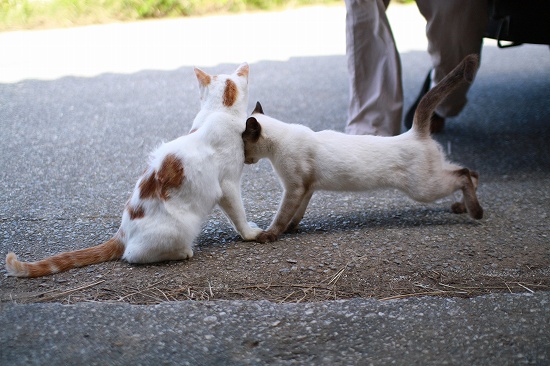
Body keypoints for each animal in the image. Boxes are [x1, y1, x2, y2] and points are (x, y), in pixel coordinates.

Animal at [4, 62, 264, 278]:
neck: (220, 111)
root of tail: (122, 232)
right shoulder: (228, 186)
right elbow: (238, 214)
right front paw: (249, 234)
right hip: (181, 227)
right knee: (133, 255)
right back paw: (182, 252)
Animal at [244, 54, 486, 243]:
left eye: (243, 145)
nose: (244, 160)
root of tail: (415, 131)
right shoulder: (306, 188)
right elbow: (297, 214)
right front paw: (292, 229)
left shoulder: (294, 188)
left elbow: (281, 216)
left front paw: (269, 235)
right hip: (434, 175)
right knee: (469, 171)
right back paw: (462, 207)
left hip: (423, 189)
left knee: (463, 175)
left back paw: (476, 212)